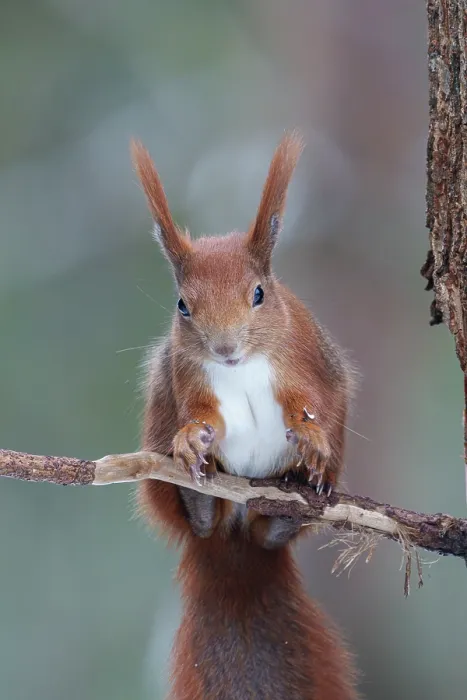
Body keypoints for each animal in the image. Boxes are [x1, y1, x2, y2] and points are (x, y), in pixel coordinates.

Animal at [131, 131, 359, 700]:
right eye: (182, 305)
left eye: (259, 293)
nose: (225, 349)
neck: (243, 367)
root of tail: (233, 539)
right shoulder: (187, 378)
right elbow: (201, 415)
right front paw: (193, 438)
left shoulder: (304, 361)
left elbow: (312, 403)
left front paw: (311, 438)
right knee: (195, 519)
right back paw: (199, 503)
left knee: (271, 532)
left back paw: (291, 506)